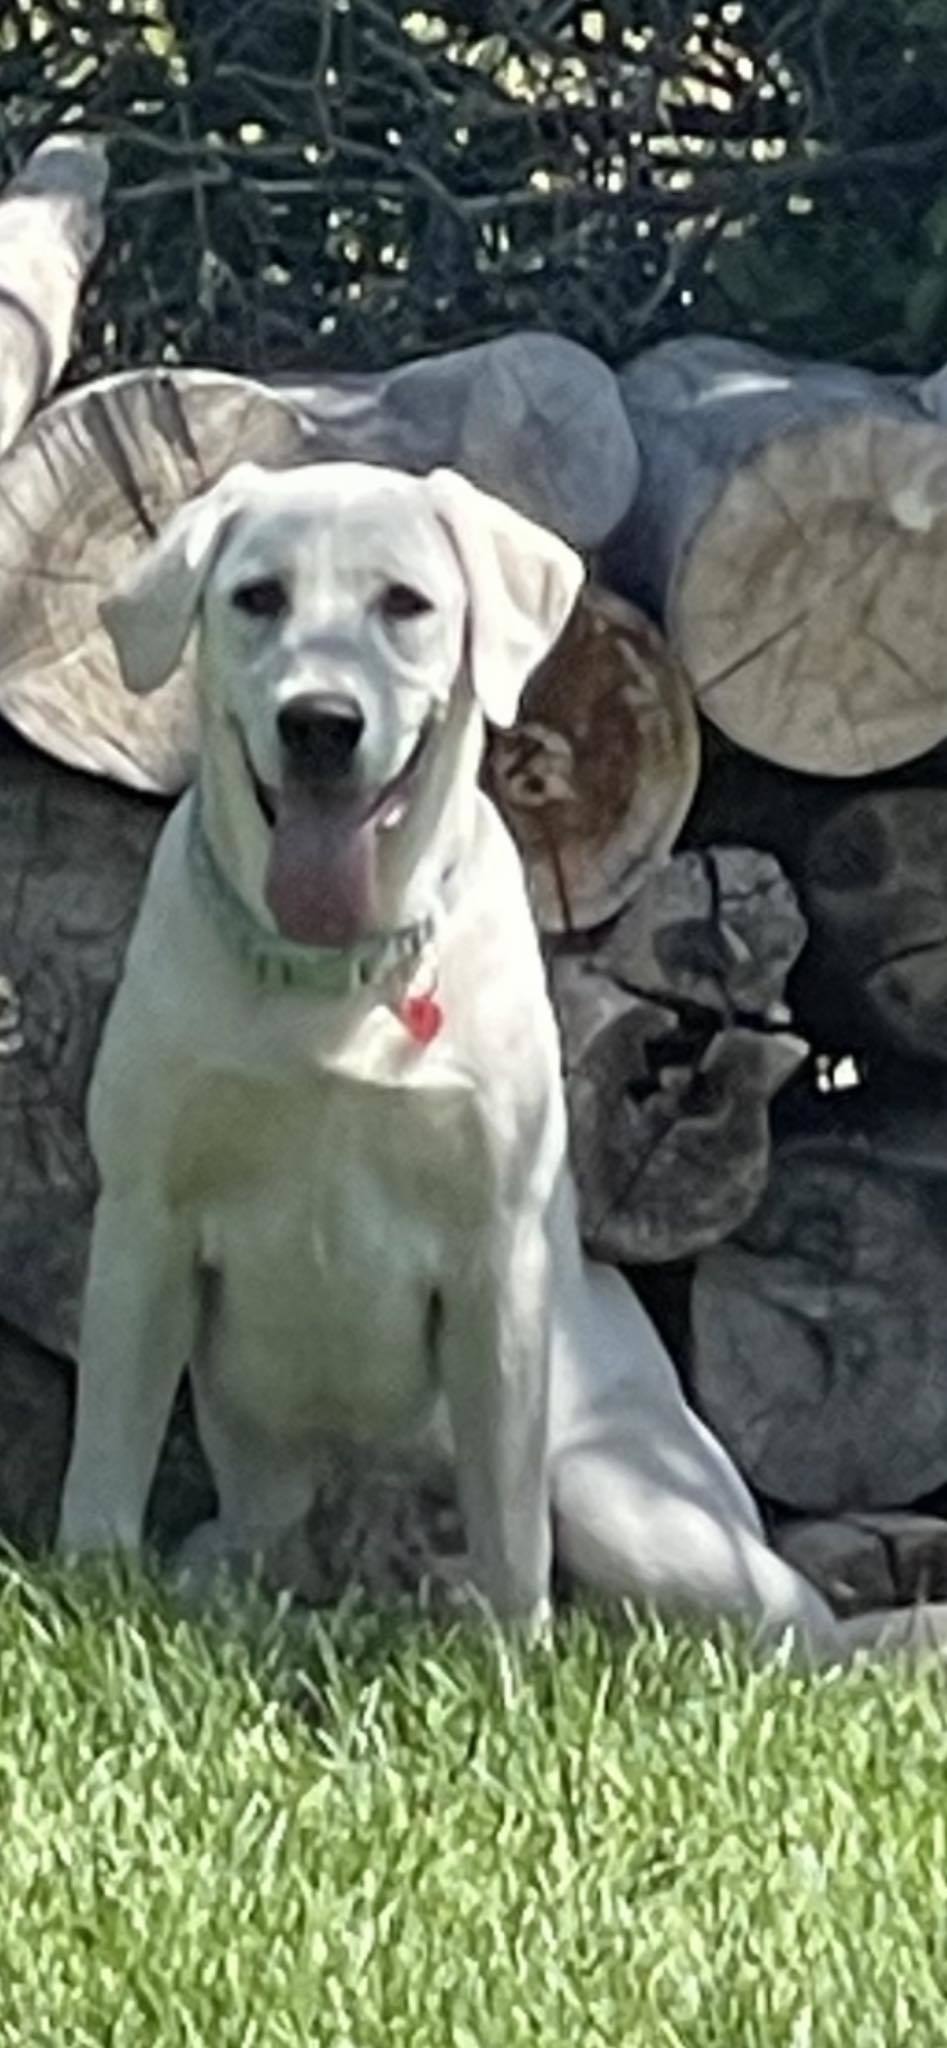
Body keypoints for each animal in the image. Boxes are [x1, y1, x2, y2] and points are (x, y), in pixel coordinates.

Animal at [59, 460, 946, 1662]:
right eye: (256, 597)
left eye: (404, 603)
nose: (320, 724)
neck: (334, 975)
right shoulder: (144, 1220)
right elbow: (104, 1457)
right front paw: (87, 1600)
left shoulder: (495, 1251)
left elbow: (507, 1507)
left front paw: (512, 1662)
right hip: (233, 1547)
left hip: (631, 1500)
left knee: (790, 1633)